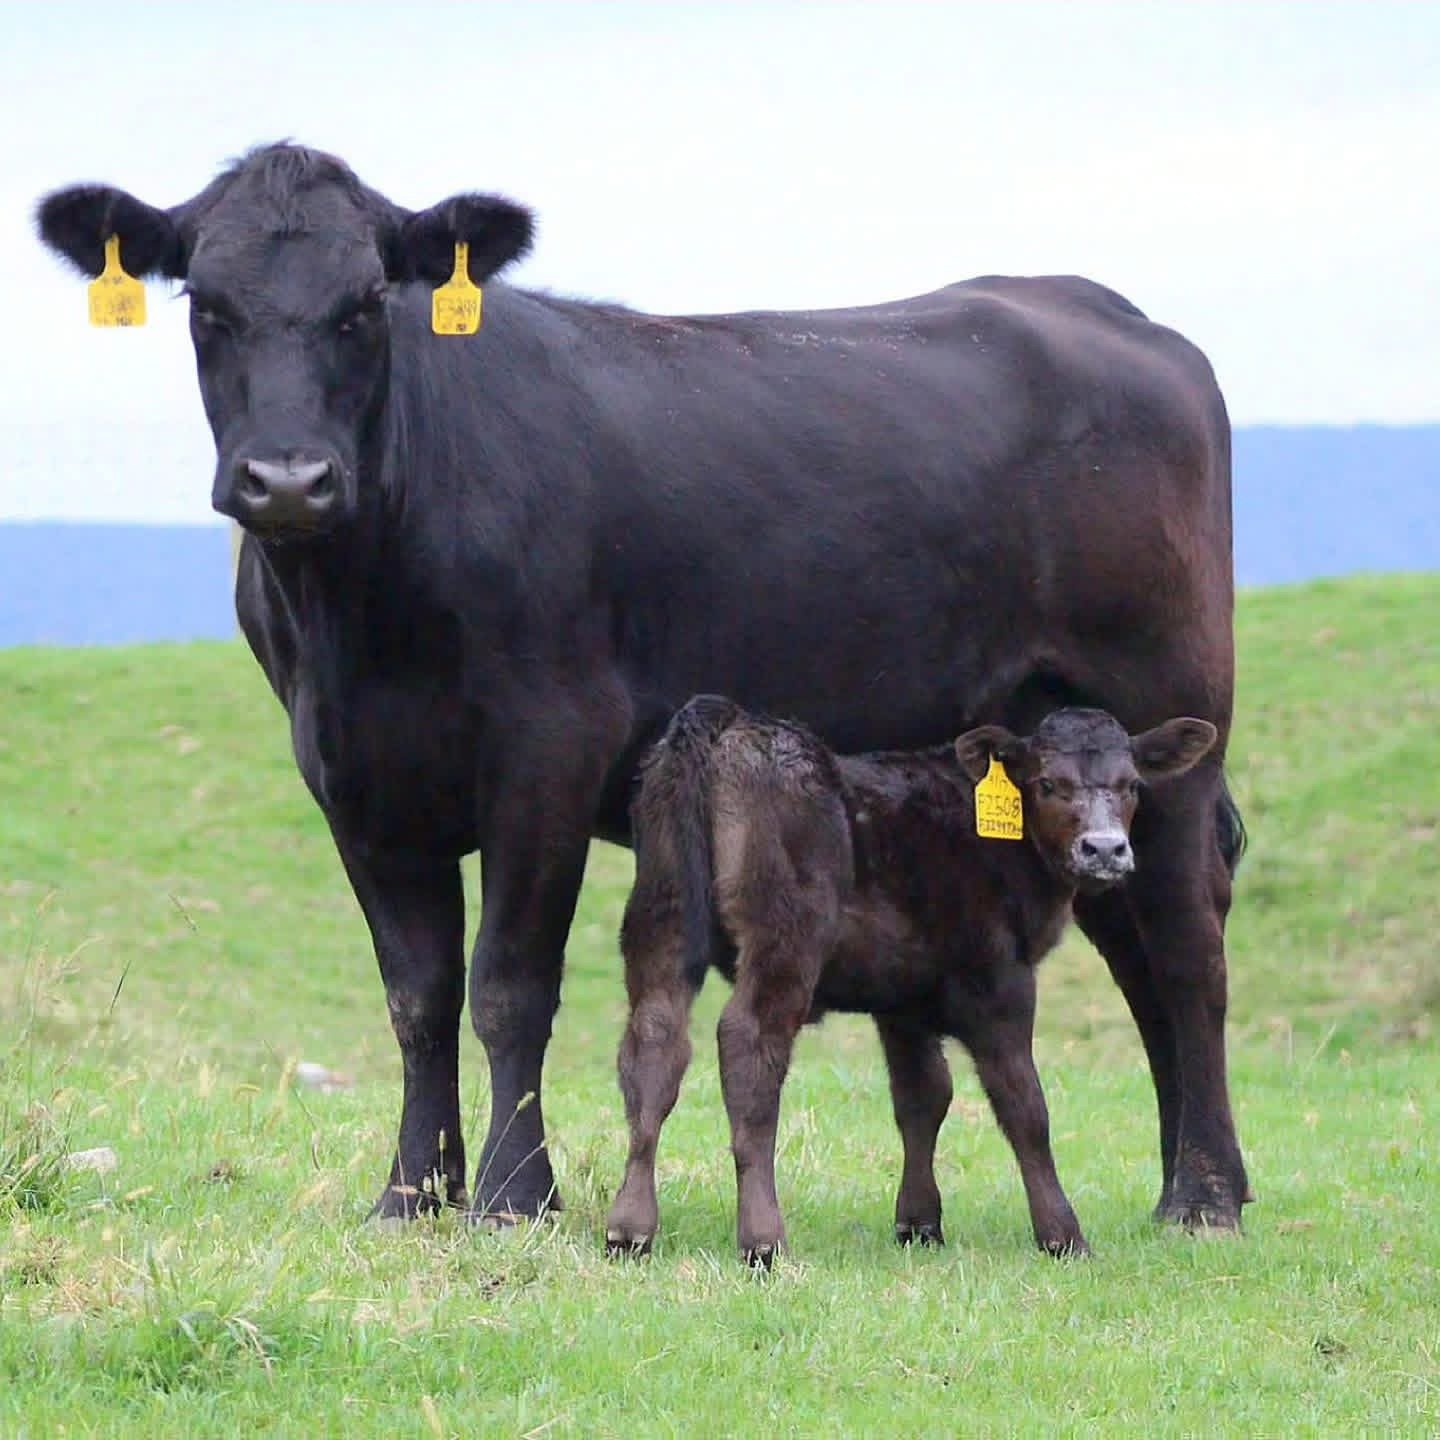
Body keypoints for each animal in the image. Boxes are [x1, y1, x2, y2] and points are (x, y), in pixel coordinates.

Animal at [606, 697, 1218, 1264]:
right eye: (1047, 782)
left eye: (1132, 784)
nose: (1105, 848)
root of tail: (727, 719)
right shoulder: (998, 981)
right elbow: (1024, 1105)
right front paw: (1063, 1235)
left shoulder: (901, 997)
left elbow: (924, 1096)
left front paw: (919, 1224)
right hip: (786, 934)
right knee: (749, 1044)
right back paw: (762, 1240)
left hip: (662, 915)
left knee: (654, 1039)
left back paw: (630, 1228)